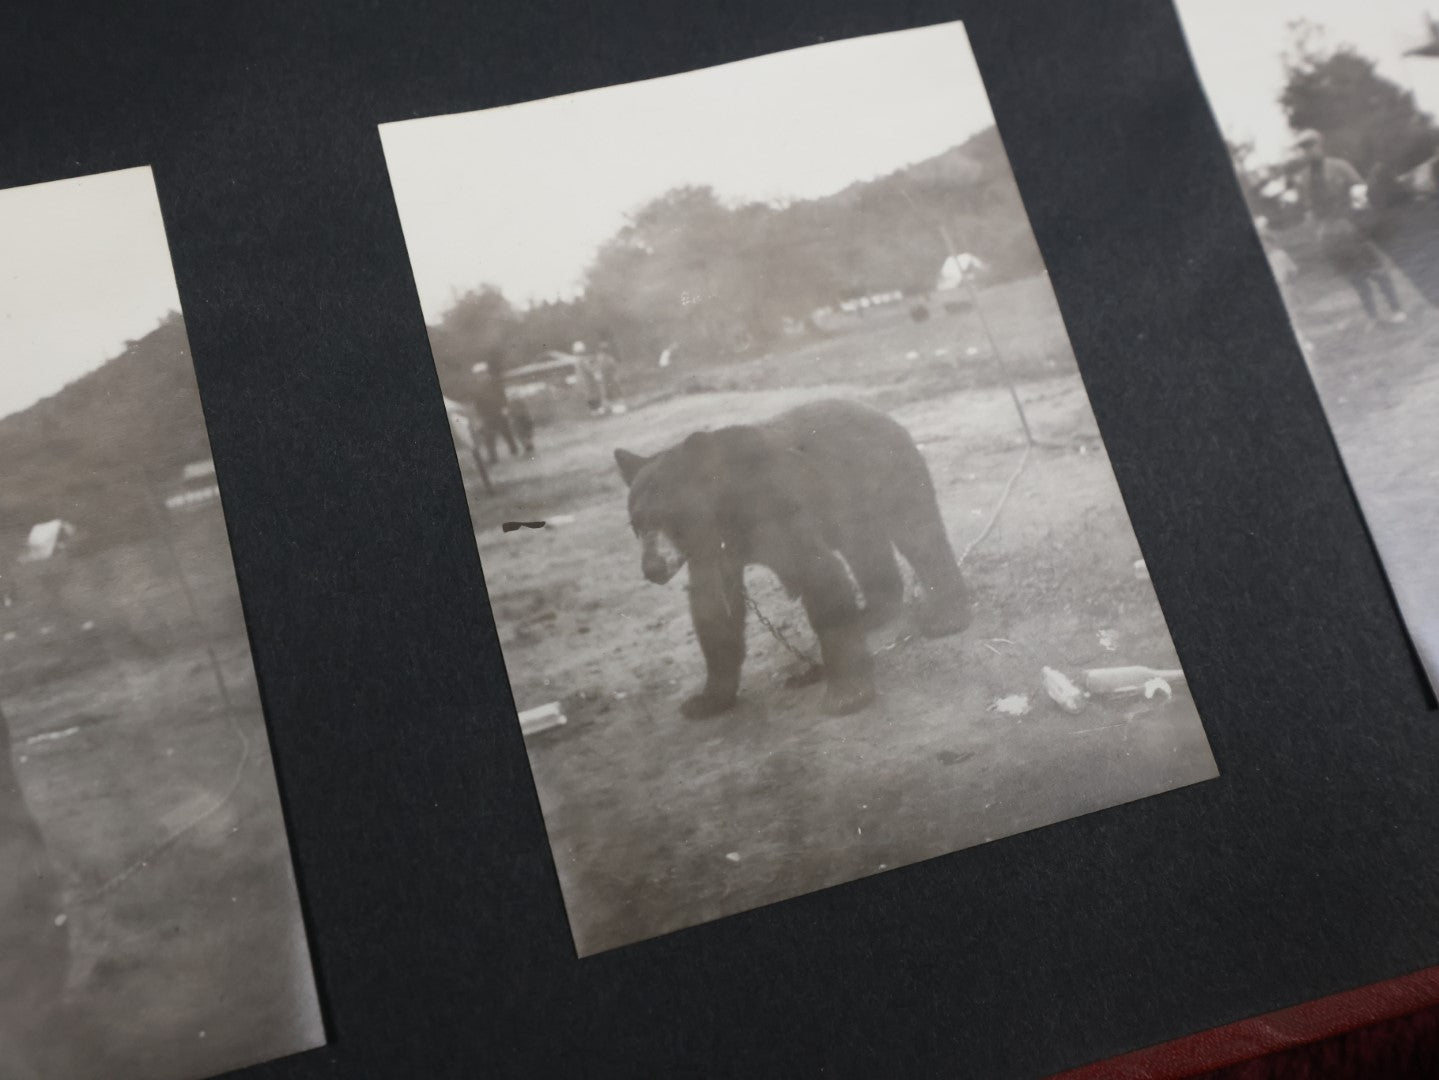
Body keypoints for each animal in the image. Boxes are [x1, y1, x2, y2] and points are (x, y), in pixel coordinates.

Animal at [613, 396, 972, 719]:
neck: (728, 512)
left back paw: (947, 616)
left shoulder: (778, 507)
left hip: (886, 472)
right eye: (636, 524)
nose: (653, 568)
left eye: (672, 518)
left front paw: (846, 694)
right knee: (865, 549)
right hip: (849, 506)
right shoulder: (711, 551)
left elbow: (820, 576)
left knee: (919, 533)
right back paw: (873, 612)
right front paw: (706, 700)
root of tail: (877, 411)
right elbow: (714, 608)